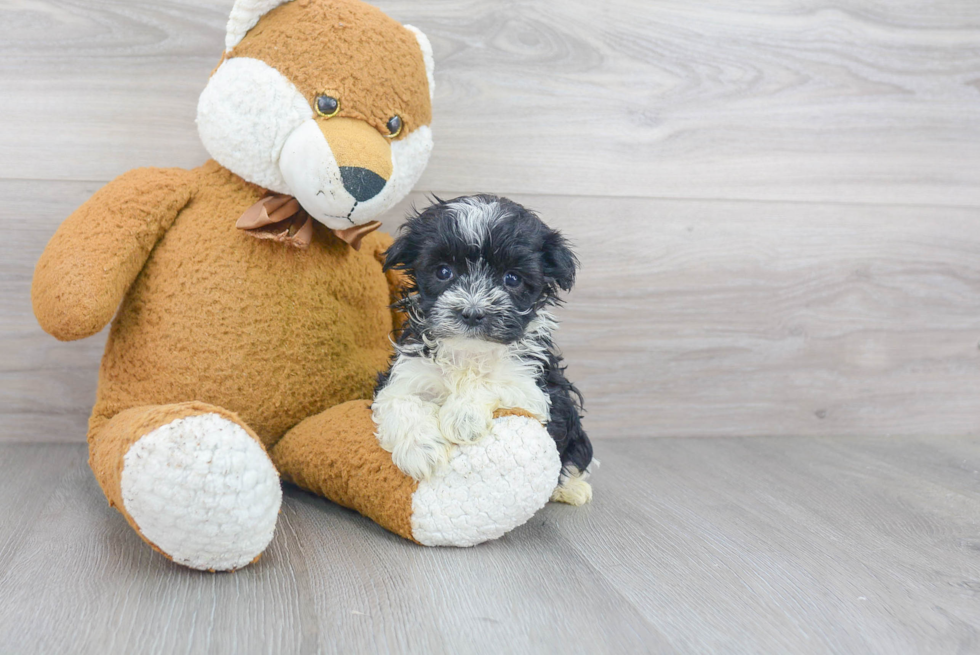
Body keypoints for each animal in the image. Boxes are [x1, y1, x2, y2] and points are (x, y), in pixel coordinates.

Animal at [372, 195, 592, 508]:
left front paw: (463, 418)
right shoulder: (405, 374)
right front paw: (420, 448)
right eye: (443, 272)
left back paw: (572, 488)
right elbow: (400, 401)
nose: (473, 313)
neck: (469, 352)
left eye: (512, 278)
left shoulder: (537, 389)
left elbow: (490, 382)